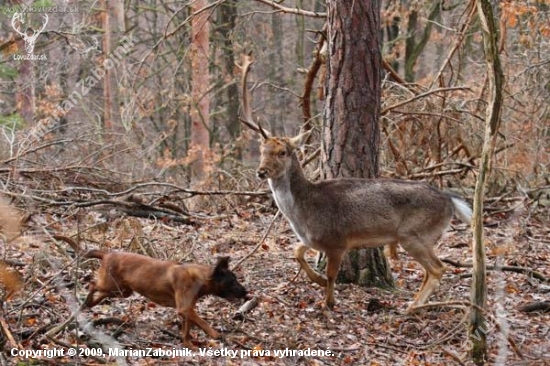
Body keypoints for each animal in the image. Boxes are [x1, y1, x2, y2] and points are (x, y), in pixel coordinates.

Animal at [83, 250, 249, 348]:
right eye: (233, 280)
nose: (246, 292)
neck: (200, 278)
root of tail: (107, 254)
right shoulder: (185, 308)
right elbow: (203, 322)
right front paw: (215, 334)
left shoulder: (187, 310)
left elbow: (186, 331)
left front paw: (190, 346)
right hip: (112, 285)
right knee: (93, 284)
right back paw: (86, 301)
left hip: (122, 291)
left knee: (100, 292)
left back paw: (88, 304)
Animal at [242, 53, 474, 312]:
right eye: (263, 150)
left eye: (282, 152)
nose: (261, 172)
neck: (303, 213)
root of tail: (450, 201)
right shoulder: (312, 240)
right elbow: (296, 251)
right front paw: (317, 280)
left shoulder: (337, 240)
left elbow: (332, 274)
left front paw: (328, 302)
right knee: (429, 270)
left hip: (414, 233)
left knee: (438, 268)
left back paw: (412, 306)